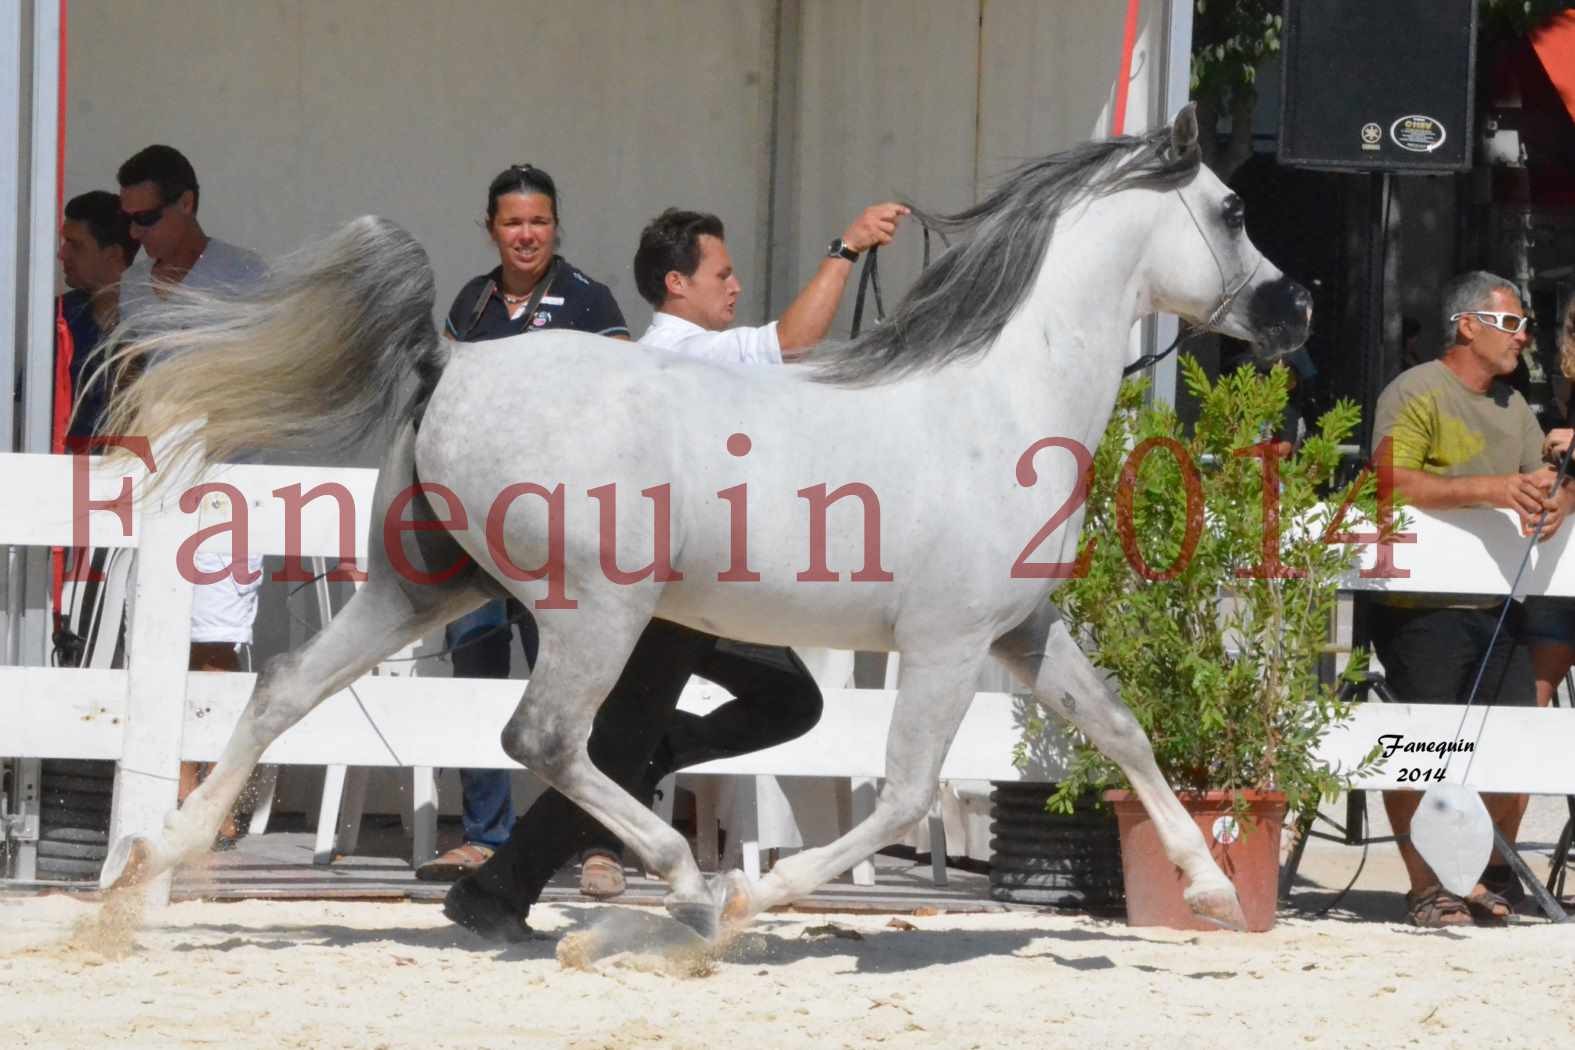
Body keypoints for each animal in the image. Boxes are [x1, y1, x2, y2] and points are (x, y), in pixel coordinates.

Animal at [95, 110, 1304, 938]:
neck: (996, 403)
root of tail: (455, 355)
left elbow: (1124, 731)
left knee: (283, 689)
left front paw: (1206, 887)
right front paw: (754, 900)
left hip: (423, 587)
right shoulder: (949, 643)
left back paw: (153, 871)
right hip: (596, 610)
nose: (1295, 309)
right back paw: (679, 878)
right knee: (543, 737)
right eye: (1235, 211)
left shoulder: (1021, 632)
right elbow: (908, 790)